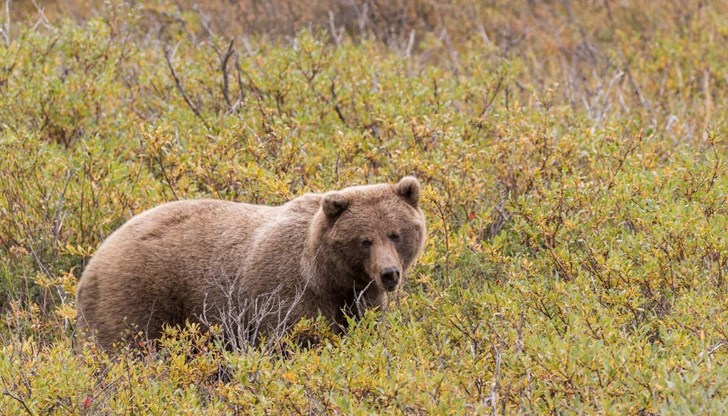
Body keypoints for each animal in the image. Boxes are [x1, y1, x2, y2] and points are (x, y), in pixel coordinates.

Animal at [75, 176, 426, 352]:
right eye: (364, 240)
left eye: (395, 234)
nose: (389, 274)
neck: (327, 277)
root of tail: (94, 259)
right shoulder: (286, 295)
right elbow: (290, 340)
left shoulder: (359, 298)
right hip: (137, 293)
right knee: (123, 347)